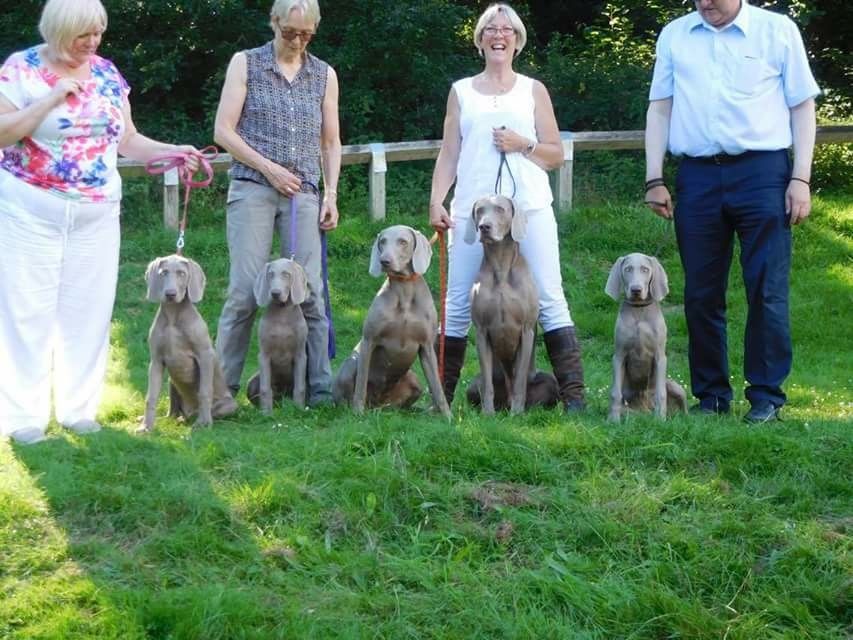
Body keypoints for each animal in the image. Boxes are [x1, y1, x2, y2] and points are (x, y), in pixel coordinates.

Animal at [142, 254, 237, 432]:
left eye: (182, 273)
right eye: (163, 273)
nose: (170, 294)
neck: (173, 316)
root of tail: (188, 412)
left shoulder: (205, 355)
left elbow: (204, 392)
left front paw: (204, 423)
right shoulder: (156, 360)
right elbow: (151, 396)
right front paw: (146, 426)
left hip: (230, 405)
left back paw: (198, 419)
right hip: (171, 381)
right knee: (173, 411)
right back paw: (173, 417)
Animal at [245, 258, 309, 412]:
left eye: (286, 274)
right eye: (270, 275)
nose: (275, 293)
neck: (282, 313)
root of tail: (281, 401)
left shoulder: (300, 355)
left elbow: (299, 388)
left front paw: (298, 409)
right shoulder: (264, 355)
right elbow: (264, 389)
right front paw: (266, 413)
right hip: (252, 380)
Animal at [332, 225, 451, 418]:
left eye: (403, 242)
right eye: (382, 241)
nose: (384, 261)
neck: (404, 291)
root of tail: (379, 406)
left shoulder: (427, 346)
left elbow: (437, 387)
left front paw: (448, 417)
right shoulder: (368, 341)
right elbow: (361, 384)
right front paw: (358, 413)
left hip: (414, 380)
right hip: (350, 363)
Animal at [466, 194, 543, 415]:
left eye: (500, 209)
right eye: (479, 210)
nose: (484, 227)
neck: (500, 267)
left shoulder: (527, 331)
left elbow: (519, 380)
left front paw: (517, 413)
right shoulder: (481, 331)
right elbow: (487, 383)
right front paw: (487, 413)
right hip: (471, 386)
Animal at [604, 253, 688, 421]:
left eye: (645, 269)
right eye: (628, 269)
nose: (636, 290)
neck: (639, 310)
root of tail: (645, 411)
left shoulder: (660, 357)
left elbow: (661, 393)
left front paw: (660, 420)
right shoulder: (619, 356)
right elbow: (615, 392)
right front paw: (613, 420)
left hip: (675, 386)